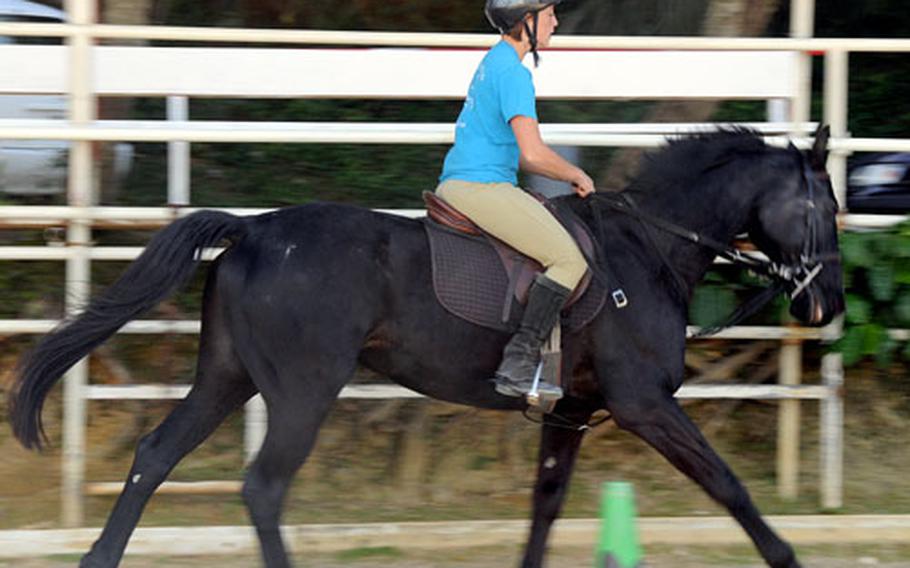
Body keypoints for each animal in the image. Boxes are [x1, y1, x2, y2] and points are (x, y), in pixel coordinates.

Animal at [8, 126, 848, 564]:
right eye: (820, 207)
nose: (828, 303)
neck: (648, 250)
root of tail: (252, 230)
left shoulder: (571, 411)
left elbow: (545, 506)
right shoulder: (643, 404)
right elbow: (728, 485)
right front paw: (785, 557)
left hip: (227, 375)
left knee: (155, 455)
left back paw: (100, 557)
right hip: (303, 389)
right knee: (262, 487)